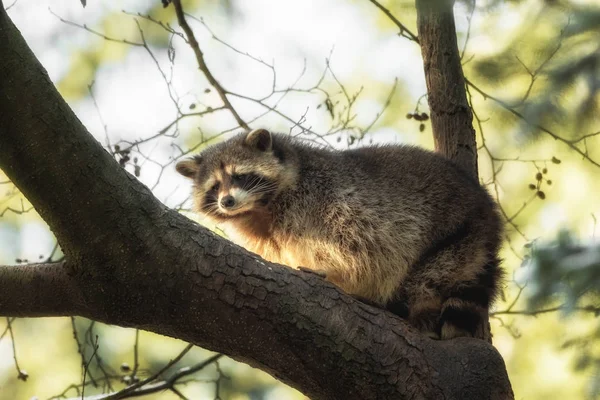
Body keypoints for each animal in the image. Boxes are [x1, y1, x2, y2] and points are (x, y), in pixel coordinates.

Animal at [176, 129, 504, 340]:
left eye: (240, 176)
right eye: (215, 186)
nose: (227, 202)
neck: (259, 210)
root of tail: (488, 210)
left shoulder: (324, 204)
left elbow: (351, 248)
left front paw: (329, 272)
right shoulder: (266, 236)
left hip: (458, 234)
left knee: (431, 277)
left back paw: (420, 307)